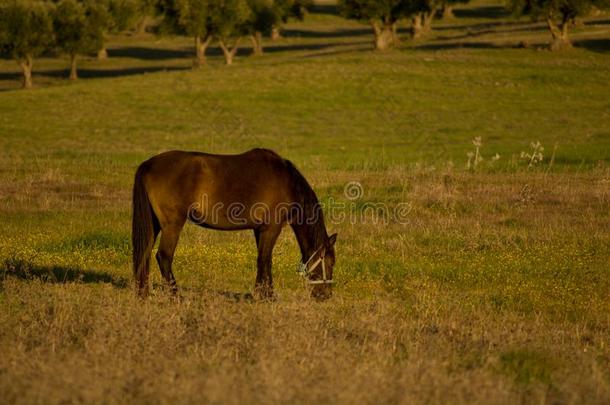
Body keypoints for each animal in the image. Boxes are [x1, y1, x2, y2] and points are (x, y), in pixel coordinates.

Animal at [131, 147, 338, 298]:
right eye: (330, 263)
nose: (325, 295)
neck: (287, 183)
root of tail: (148, 164)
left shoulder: (259, 229)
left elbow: (262, 259)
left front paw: (262, 292)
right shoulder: (272, 228)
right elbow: (265, 259)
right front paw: (268, 296)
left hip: (155, 224)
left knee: (144, 253)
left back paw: (143, 293)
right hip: (172, 225)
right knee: (163, 256)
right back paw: (176, 295)